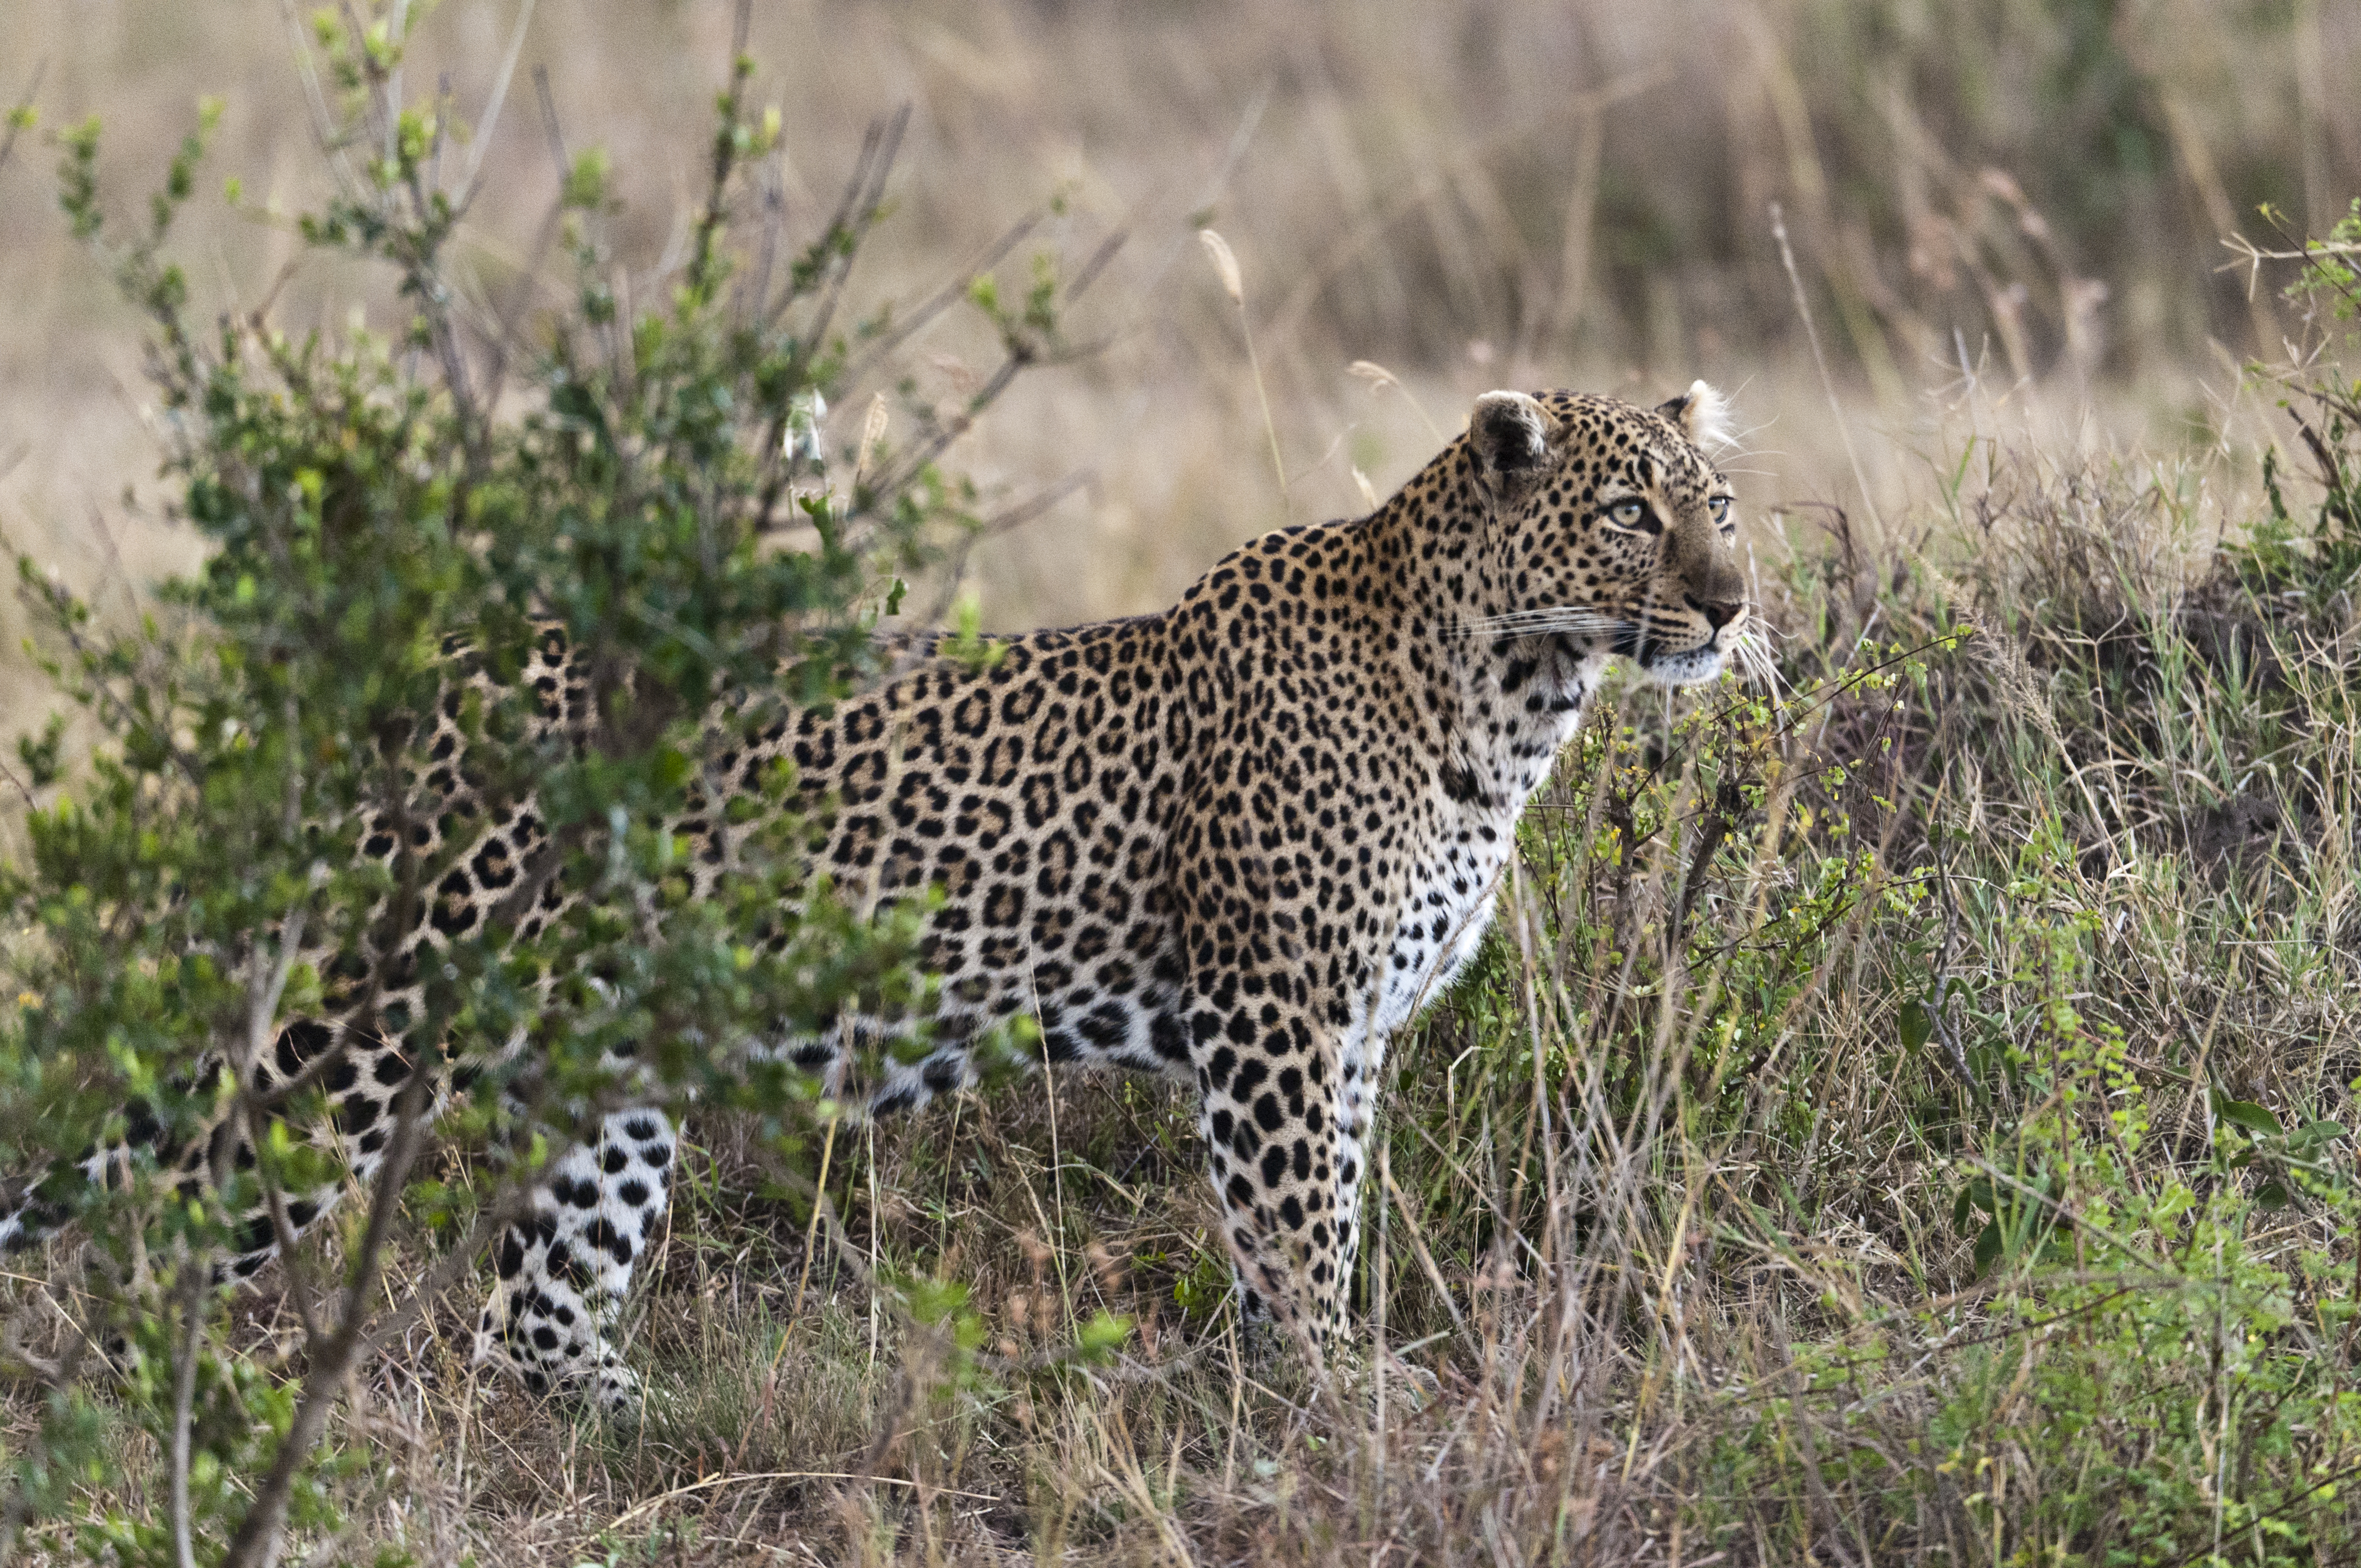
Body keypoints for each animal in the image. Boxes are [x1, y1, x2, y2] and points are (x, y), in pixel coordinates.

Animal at [2, 382, 1749, 1410]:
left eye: (1719, 506)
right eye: (1627, 512)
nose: (1733, 605)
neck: (1512, 694)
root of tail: (420, 672)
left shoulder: (1355, 1036)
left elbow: (1312, 1225)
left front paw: (1284, 1404)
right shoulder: (1275, 1019)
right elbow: (1299, 1234)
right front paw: (1334, 1412)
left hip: (609, 1056)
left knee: (537, 1315)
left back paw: (663, 1437)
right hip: (369, 1025)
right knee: (162, 1244)